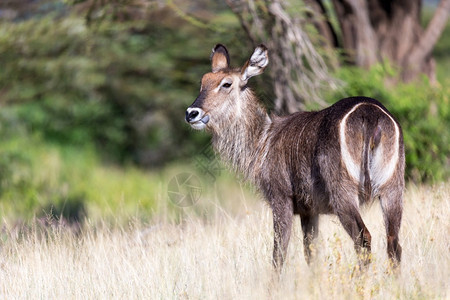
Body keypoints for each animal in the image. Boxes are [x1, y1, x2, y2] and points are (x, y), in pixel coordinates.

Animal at [185, 43, 404, 268]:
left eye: (226, 83)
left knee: (364, 239)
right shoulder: (309, 210)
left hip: (344, 193)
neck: (263, 140)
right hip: (392, 187)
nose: (191, 113)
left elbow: (278, 253)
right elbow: (311, 253)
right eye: (203, 81)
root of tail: (370, 115)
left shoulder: (281, 197)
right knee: (393, 244)